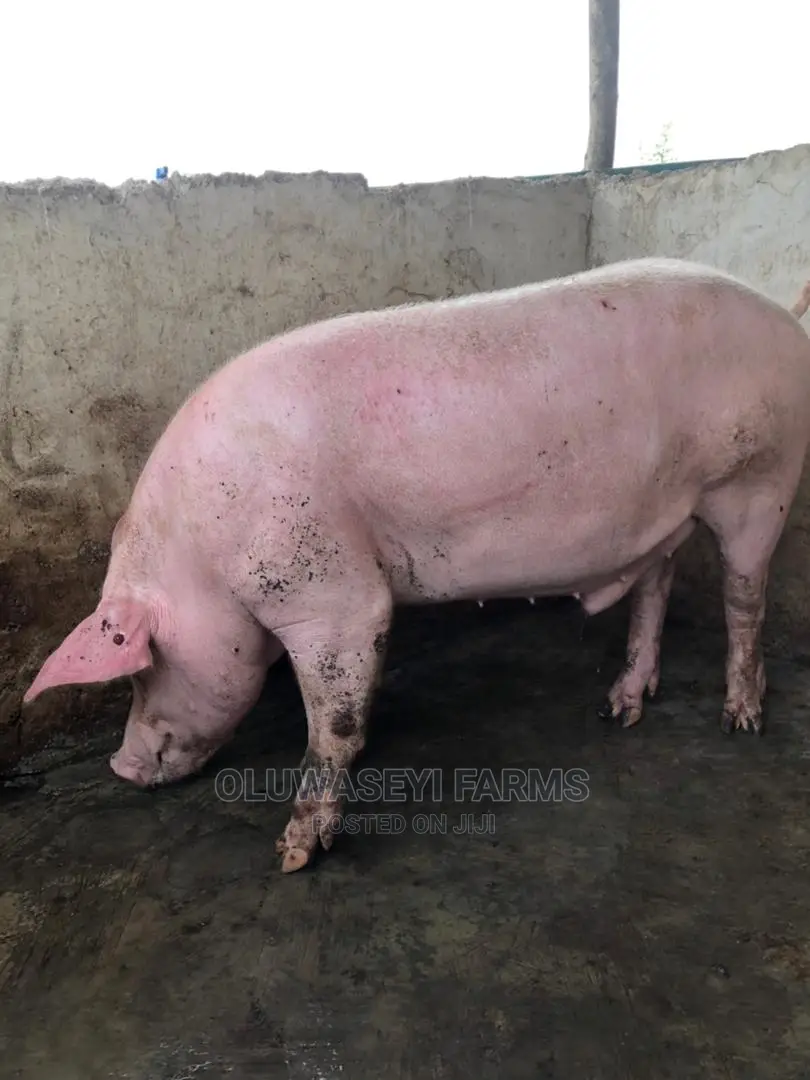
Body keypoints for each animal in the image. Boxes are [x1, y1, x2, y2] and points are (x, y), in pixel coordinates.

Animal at [23, 258, 810, 872]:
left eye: (142, 670)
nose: (121, 766)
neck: (200, 557)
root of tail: (782, 313)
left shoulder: (328, 591)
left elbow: (332, 722)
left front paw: (293, 854)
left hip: (759, 480)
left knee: (745, 596)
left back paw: (740, 718)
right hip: (665, 510)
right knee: (656, 585)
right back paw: (620, 707)